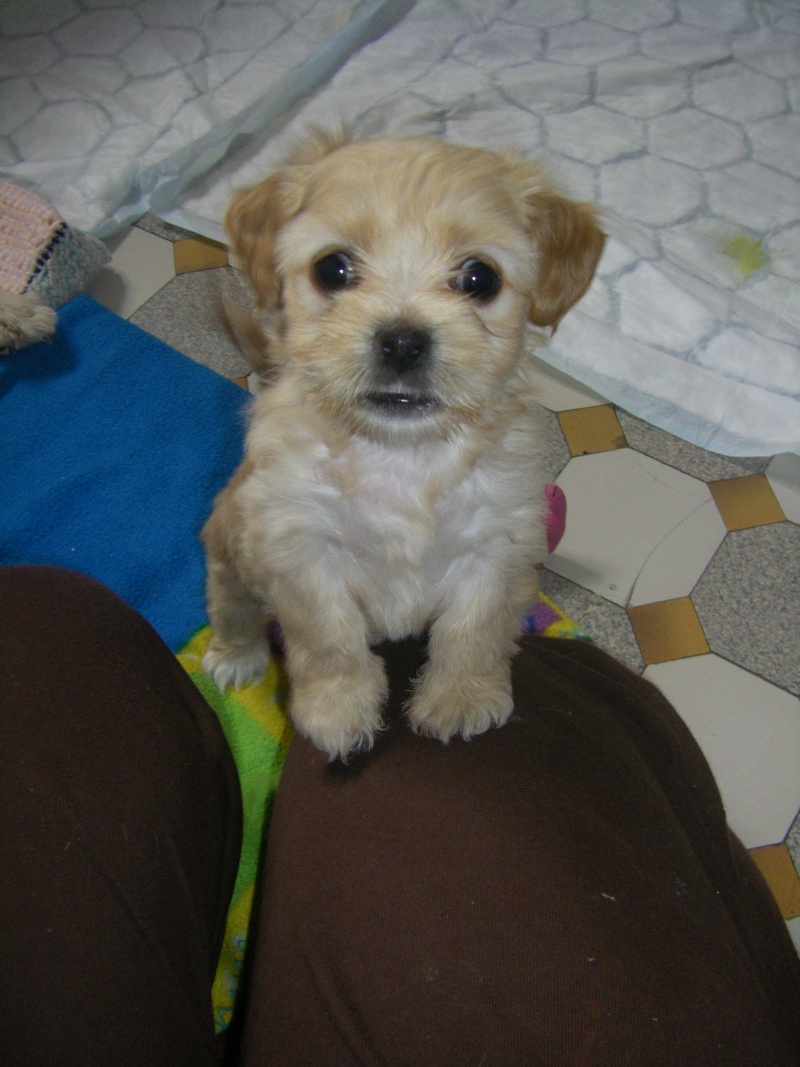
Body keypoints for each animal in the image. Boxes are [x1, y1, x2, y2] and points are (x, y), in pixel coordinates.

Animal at [203, 131, 605, 759]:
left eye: (480, 277)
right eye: (333, 268)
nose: (401, 341)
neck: (401, 456)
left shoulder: (497, 543)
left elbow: (474, 628)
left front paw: (461, 697)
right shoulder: (300, 545)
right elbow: (328, 636)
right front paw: (337, 708)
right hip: (230, 536)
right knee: (229, 600)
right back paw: (236, 655)